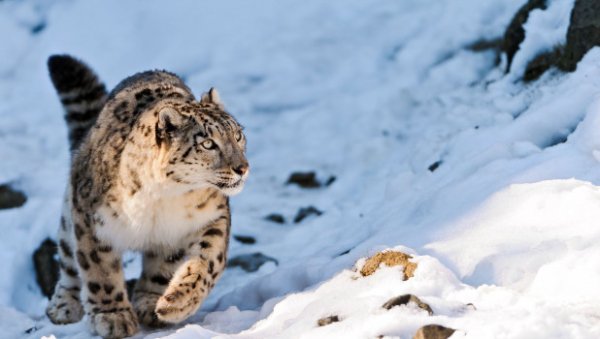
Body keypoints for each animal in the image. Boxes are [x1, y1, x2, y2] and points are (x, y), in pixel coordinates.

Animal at [45, 54, 248, 338]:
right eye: (208, 144)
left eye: (238, 135)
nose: (242, 168)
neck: (165, 198)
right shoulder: (91, 222)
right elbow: (99, 271)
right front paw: (113, 316)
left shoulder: (210, 218)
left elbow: (206, 261)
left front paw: (173, 302)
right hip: (70, 214)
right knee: (68, 259)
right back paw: (64, 305)